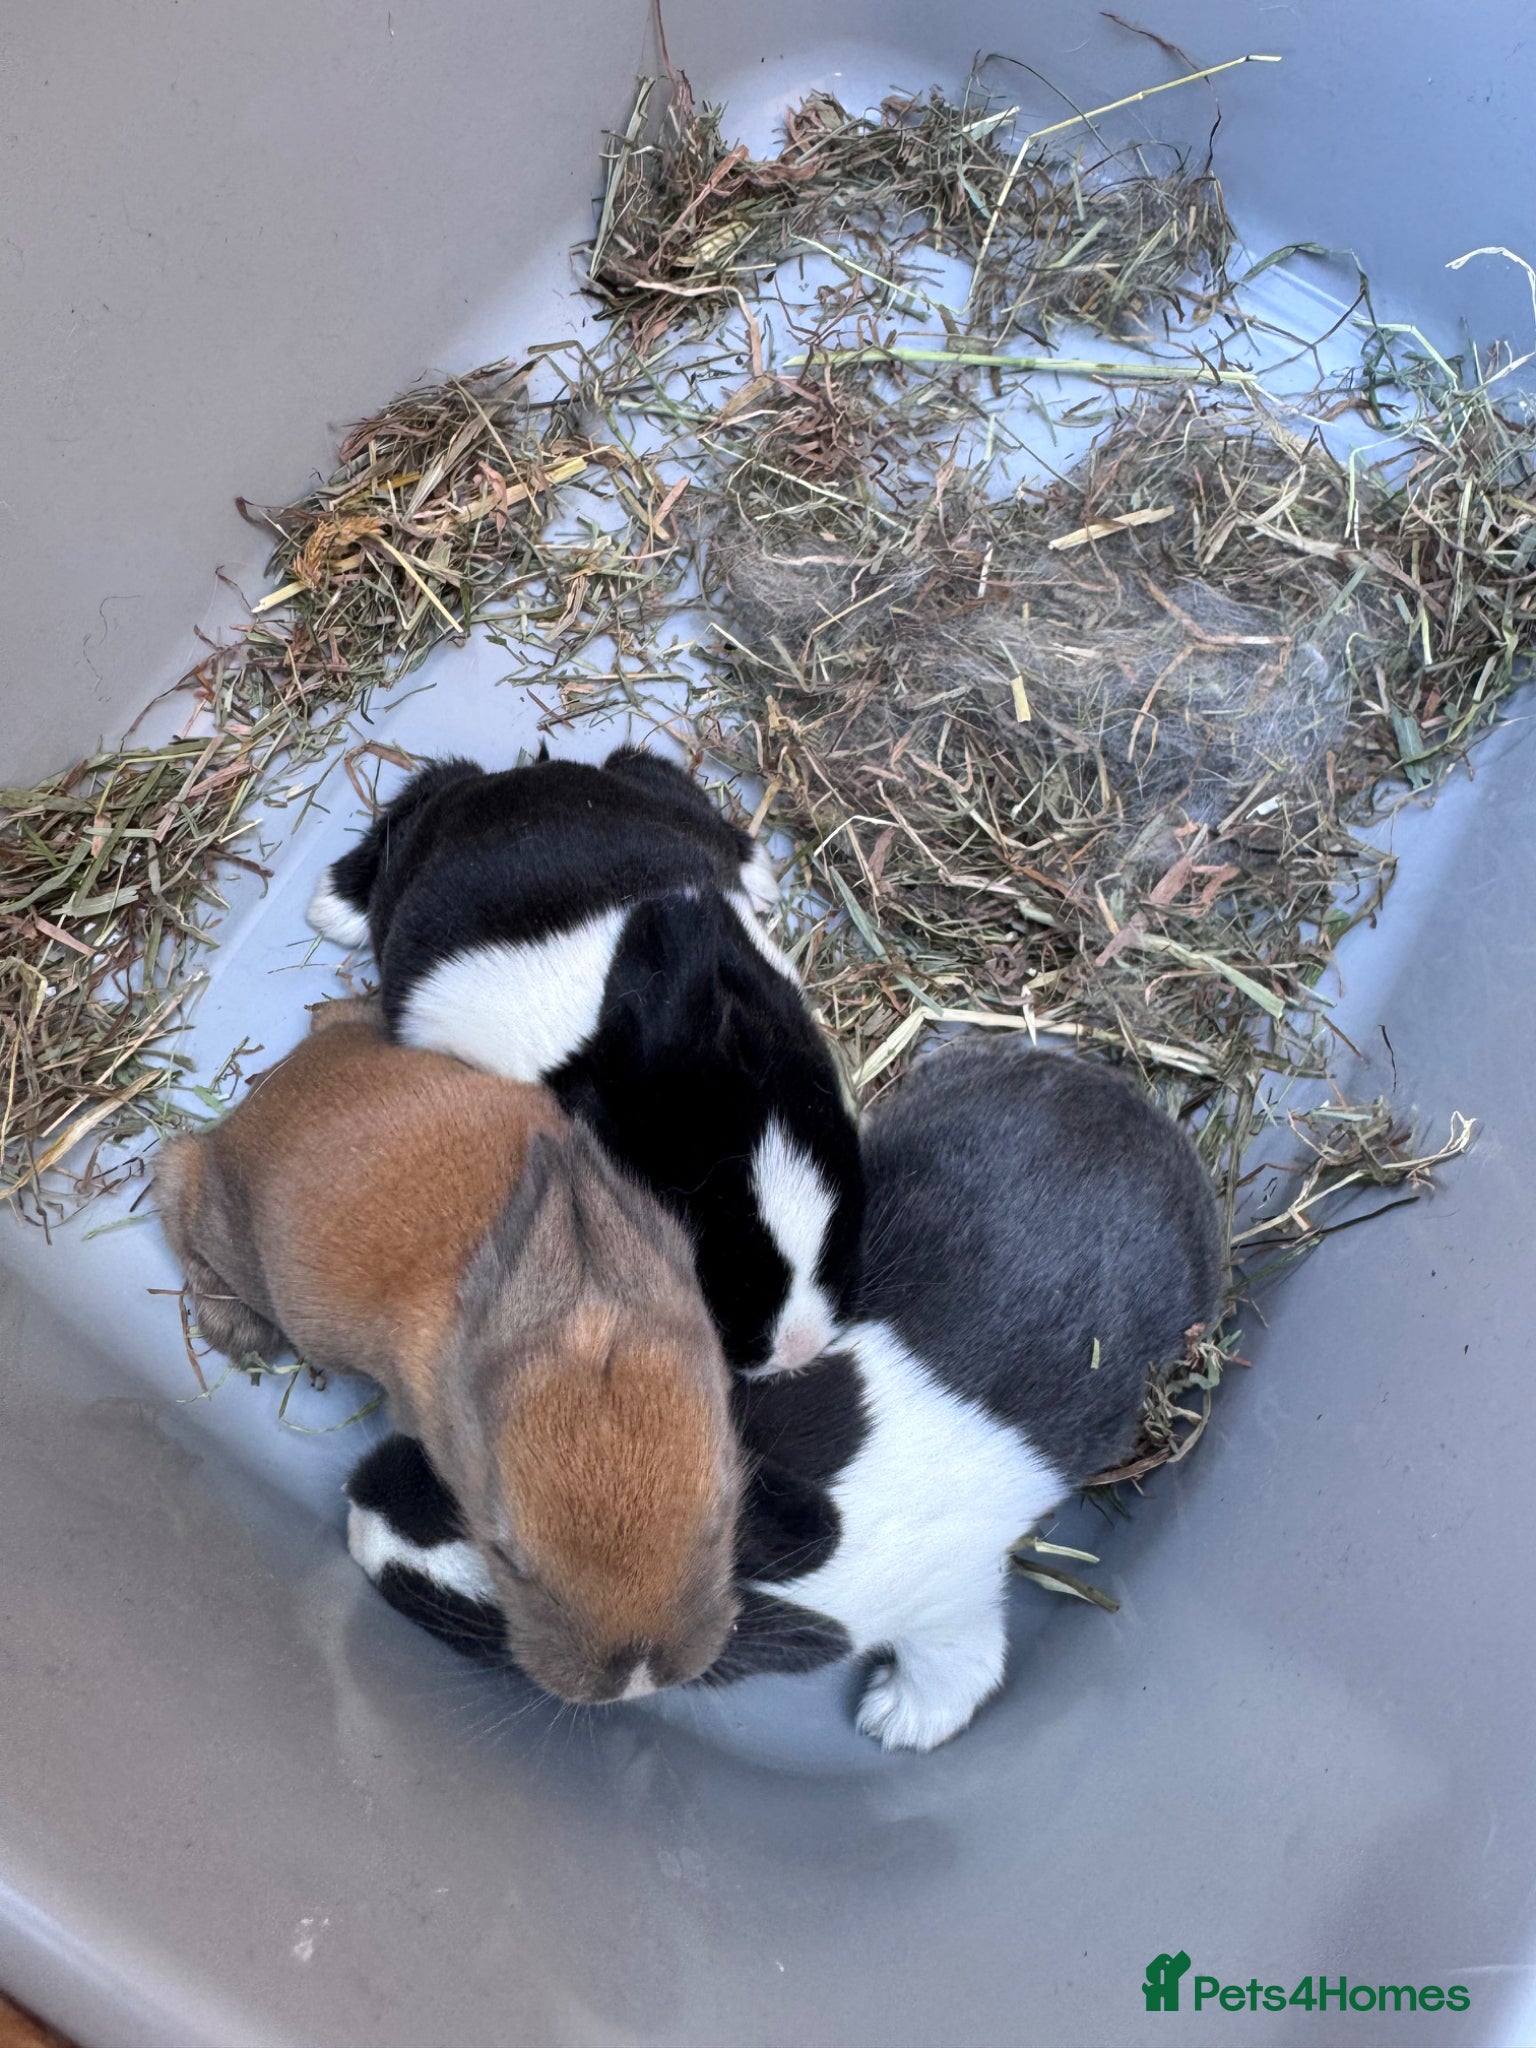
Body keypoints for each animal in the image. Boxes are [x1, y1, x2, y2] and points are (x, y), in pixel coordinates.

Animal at [155, 997, 742, 1705]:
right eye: (503, 1555)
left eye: (722, 1514)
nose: (636, 1679)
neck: (582, 1321)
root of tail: (277, 1087)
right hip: (238, 1243)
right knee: (176, 1180)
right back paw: (236, 1328)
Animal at [304, 744, 863, 1376]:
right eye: (694, 1229)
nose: (797, 1348)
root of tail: (516, 778)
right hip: (420, 832)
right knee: (421, 792)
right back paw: (332, 907)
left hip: (638, 783)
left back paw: (756, 870)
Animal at [342, 1041, 1224, 1749]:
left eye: (500, 1603)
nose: (360, 1512)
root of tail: (1126, 1100)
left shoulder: (951, 1604)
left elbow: (957, 1670)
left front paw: (891, 1722)